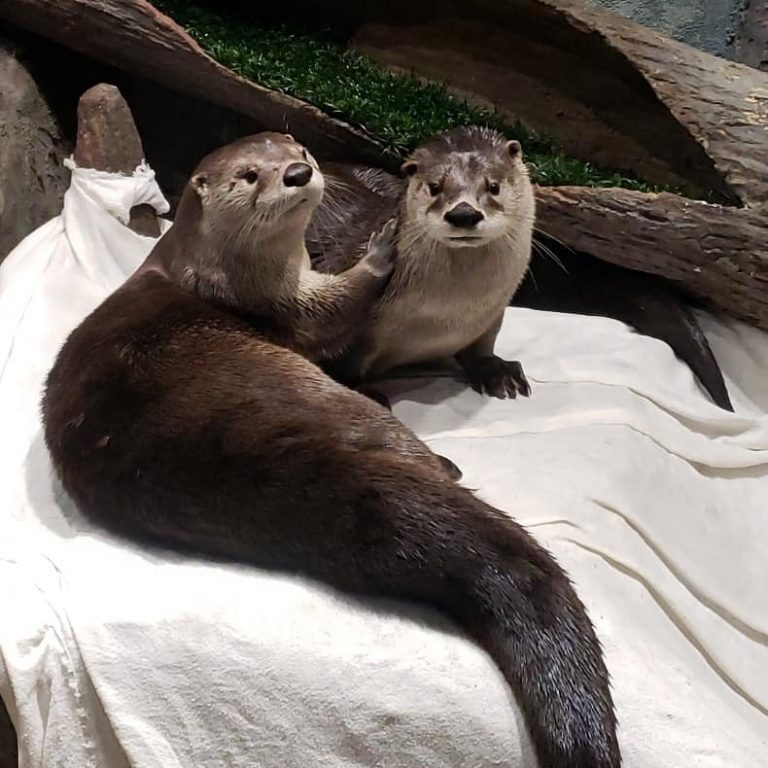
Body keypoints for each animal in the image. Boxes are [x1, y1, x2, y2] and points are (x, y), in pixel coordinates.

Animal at [43, 133, 620, 768]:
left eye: (294, 149)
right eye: (250, 175)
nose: (298, 172)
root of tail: (276, 462)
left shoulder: (488, 316)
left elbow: (481, 346)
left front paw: (495, 369)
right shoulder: (289, 309)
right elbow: (335, 315)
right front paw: (382, 249)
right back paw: (441, 462)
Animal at [307, 126, 733, 411]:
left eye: (493, 186)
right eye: (435, 187)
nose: (464, 213)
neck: (444, 316)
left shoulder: (491, 316)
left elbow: (482, 347)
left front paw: (497, 371)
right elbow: (338, 359)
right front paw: (363, 392)